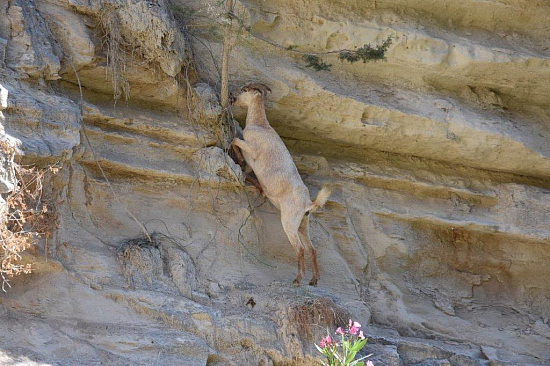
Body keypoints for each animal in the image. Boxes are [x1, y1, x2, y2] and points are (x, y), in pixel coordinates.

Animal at [230, 83, 332, 286]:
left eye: (244, 89)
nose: (232, 95)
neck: (260, 126)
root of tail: (308, 204)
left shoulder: (251, 148)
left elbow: (235, 140)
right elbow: (247, 172)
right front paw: (260, 188)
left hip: (289, 222)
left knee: (300, 249)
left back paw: (298, 279)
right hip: (303, 225)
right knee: (312, 249)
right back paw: (313, 280)